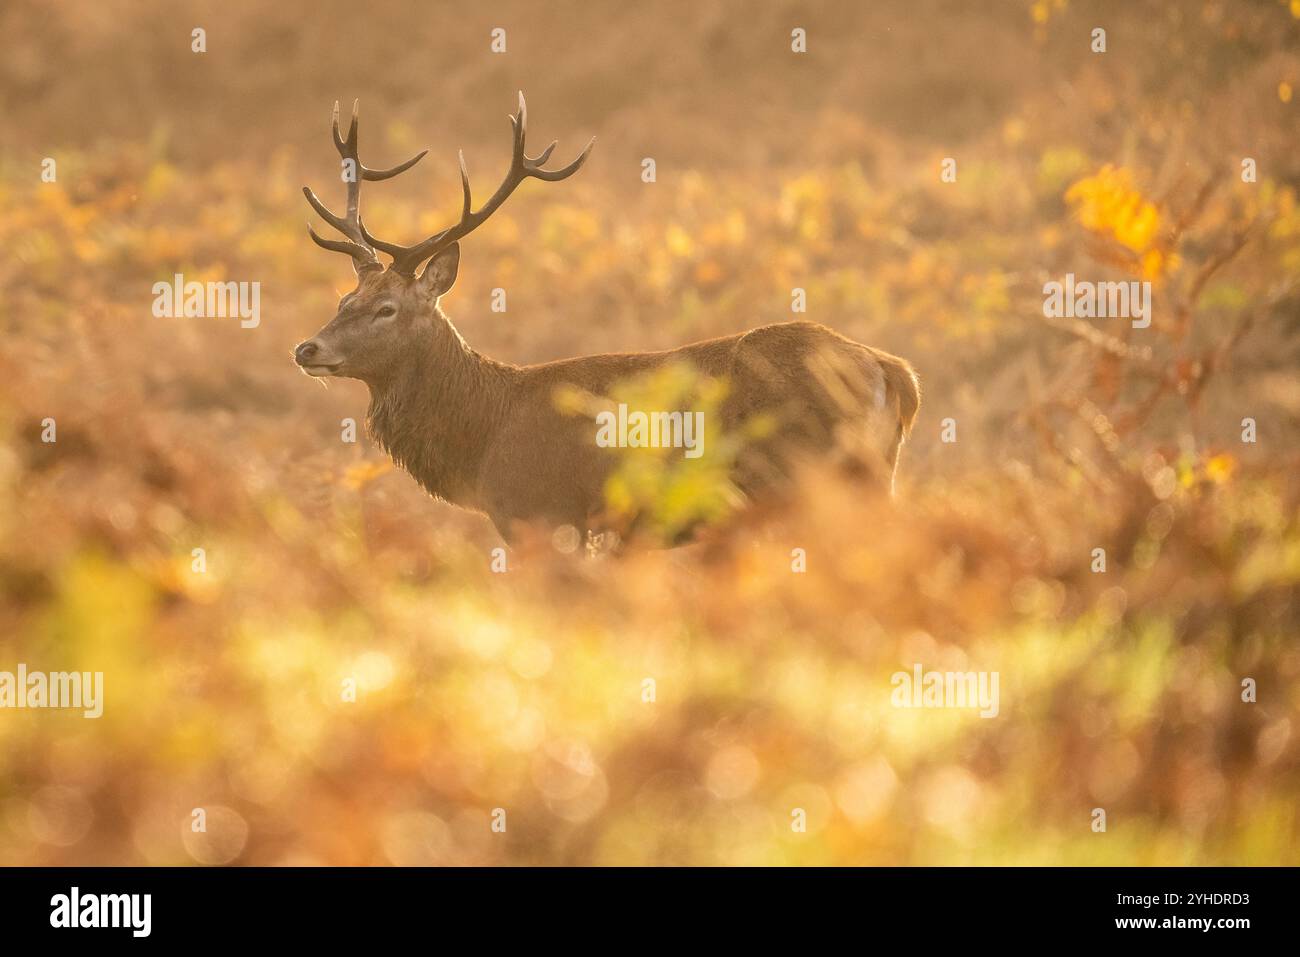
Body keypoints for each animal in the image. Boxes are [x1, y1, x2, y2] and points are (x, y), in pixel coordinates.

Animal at [294, 94, 920, 545]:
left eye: (387, 309)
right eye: (343, 300)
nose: (307, 349)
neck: (483, 438)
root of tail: (893, 372)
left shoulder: (541, 513)